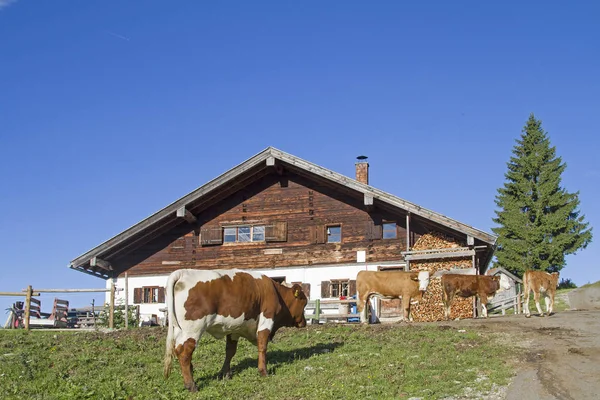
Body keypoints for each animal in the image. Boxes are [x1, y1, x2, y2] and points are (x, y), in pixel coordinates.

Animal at [163, 268, 308, 390]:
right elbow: (262, 347)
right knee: (185, 353)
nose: (304, 322)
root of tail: (182, 272)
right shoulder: (266, 320)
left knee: (178, 349)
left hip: (180, 330)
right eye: (304, 302)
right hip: (193, 329)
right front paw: (263, 371)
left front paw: (225, 374)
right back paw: (191, 385)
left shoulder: (234, 329)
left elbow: (230, 351)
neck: (275, 292)